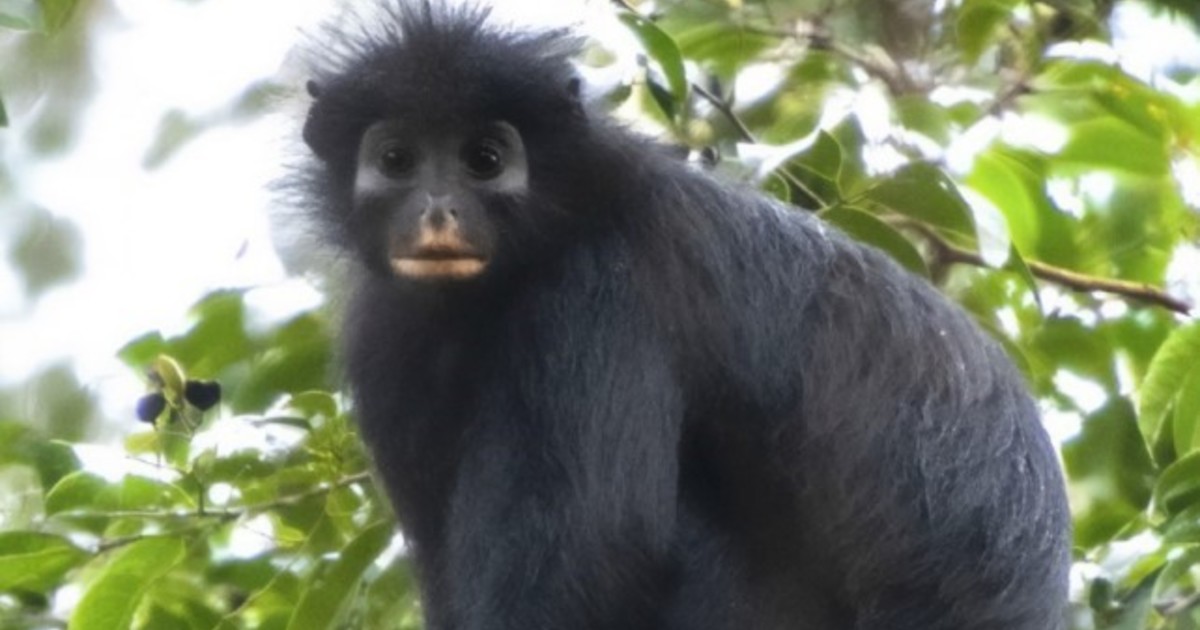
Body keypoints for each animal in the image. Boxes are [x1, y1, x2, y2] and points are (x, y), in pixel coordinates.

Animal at [289, 3, 1071, 629]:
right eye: (397, 159)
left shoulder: (597, 292)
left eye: (483, 159)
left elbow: (596, 558)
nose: (437, 210)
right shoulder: (386, 334)